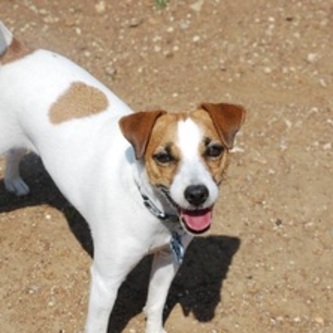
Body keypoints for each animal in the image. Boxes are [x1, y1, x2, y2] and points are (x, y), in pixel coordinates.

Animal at [0, 20, 244, 332]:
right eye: (163, 156)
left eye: (214, 150)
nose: (197, 194)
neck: (149, 207)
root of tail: (16, 51)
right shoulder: (106, 280)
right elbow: (98, 325)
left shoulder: (167, 260)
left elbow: (155, 305)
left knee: (16, 152)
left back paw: (14, 181)